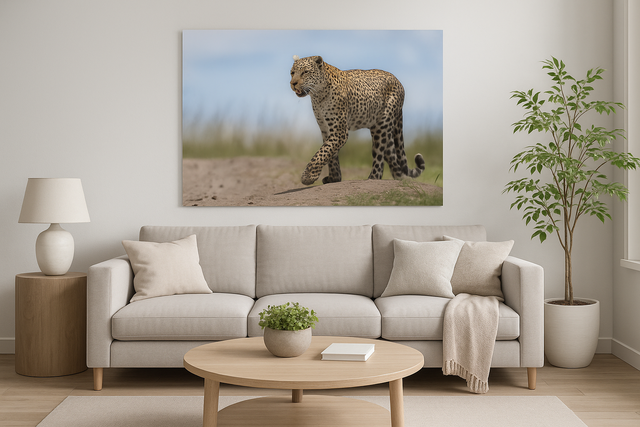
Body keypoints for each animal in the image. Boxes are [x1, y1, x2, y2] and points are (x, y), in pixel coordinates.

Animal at [290, 55, 425, 186]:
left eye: (305, 72)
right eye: (292, 72)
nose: (293, 83)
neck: (318, 96)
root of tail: (397, 81)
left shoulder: (339, 132)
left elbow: (322, 153)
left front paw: (308, 177)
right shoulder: (326, 129)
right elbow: (330, 153)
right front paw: (334, 178)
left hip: (381, 125)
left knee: (379, 155)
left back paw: (372, 178)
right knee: (390, 153)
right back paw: (400, 178)